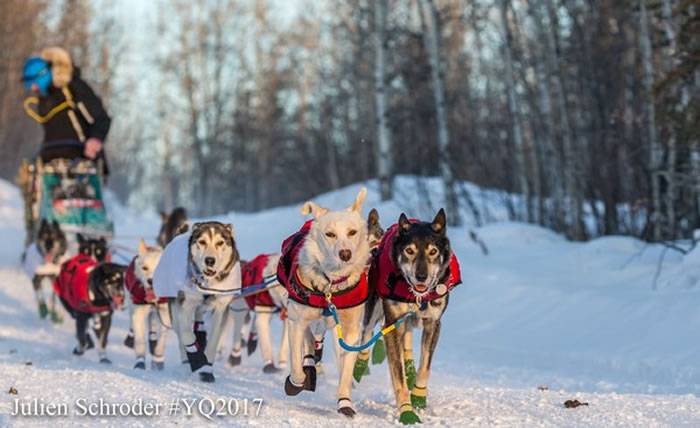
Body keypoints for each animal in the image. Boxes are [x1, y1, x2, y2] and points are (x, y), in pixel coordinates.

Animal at [153, 221, 241, 382]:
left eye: (220, 242)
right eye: (202, 242)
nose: (210, 260)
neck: (207, 284)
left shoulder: (221, 308)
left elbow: (214, 340)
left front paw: (207, 369)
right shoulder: (185, 305)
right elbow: (187, 335)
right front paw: (197, 360)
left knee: (199, 324)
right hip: (174, 311)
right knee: (181, 335)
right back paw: (186, 363)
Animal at [278, 187, 372, 418]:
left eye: (352, 232)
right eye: (330, 234)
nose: (345, 253)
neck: (330, 286)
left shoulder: (350, 330)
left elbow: (346, 370)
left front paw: (345, 402)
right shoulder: (296, 321)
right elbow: (296, 364)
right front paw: (296, 381)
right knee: (308, 342)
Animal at [370, 209, 462, 422]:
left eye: (433, 251)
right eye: (409, 251)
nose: (422, 277)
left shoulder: (433, 324)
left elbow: (425, 367)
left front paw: (419, 398)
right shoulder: (392, 325)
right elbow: (397, 375)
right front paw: (406, 410)